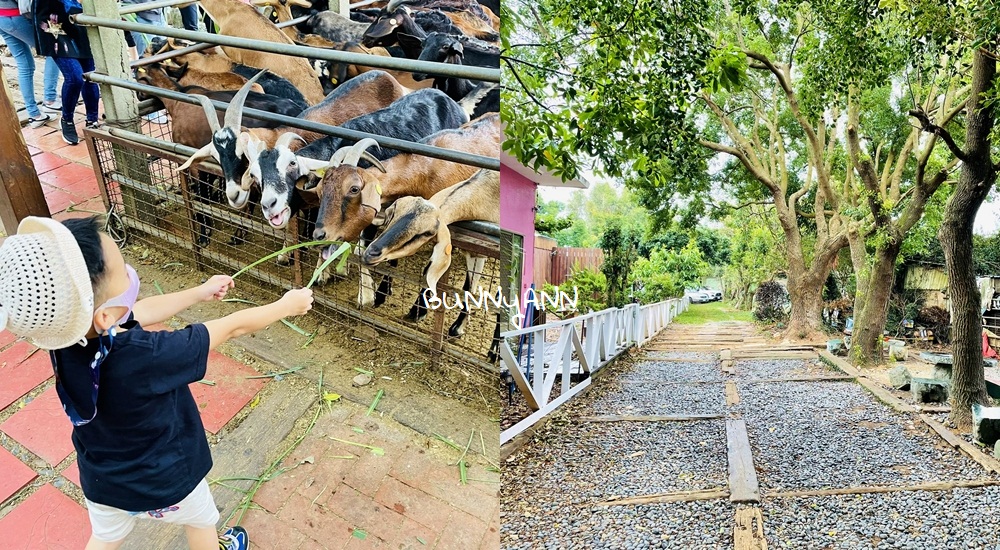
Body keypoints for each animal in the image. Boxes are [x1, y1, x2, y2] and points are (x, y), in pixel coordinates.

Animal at [362, 170, 498, 338]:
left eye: (427, 233)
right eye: (393, 214)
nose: (371, 253)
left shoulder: (480, 253)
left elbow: (470, 288)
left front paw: (456, 328)